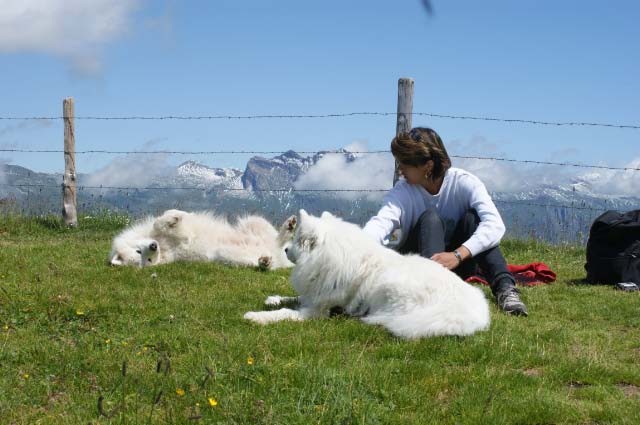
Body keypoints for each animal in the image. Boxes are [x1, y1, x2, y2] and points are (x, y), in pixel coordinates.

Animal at [107, 209, 296, 268]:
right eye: (148, 259)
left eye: (139, 251)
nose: (154, 247)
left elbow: (161, 220)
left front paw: (177, 216)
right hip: (225, 255)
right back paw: (264, 262)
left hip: (254, 220)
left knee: (278, 239)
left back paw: (289, 226)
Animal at [244, 210, 490, 338]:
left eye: (296, 241)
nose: (285, 250)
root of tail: (472, 313)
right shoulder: (316, 294)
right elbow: (293, 298)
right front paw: (273, 299)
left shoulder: (317, 311)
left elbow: (286, 312)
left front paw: (257, 316)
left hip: (393, 286)